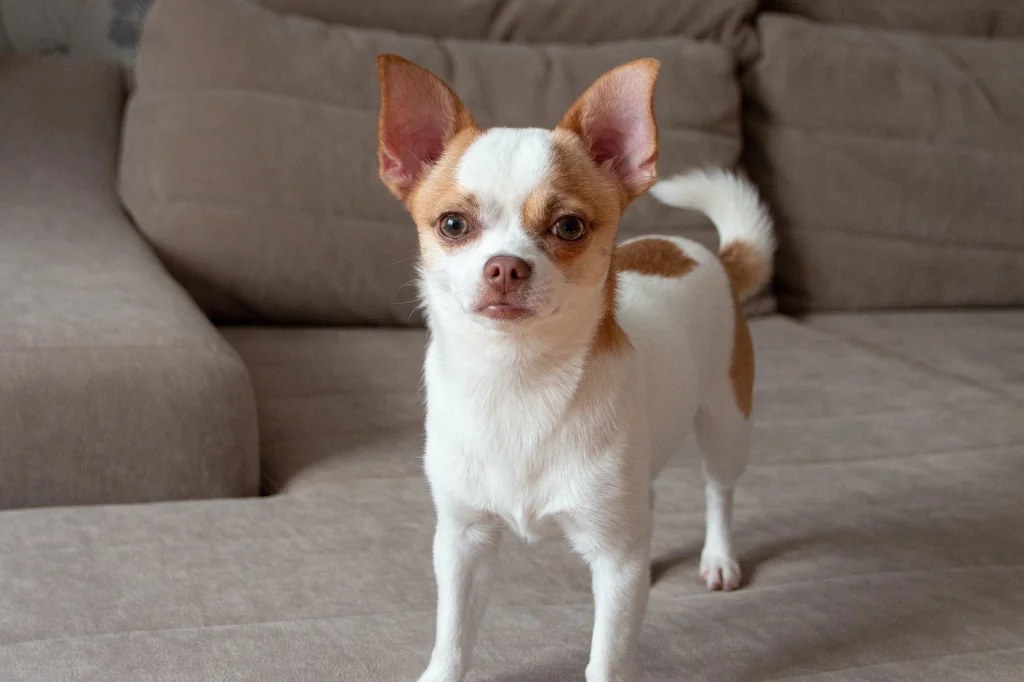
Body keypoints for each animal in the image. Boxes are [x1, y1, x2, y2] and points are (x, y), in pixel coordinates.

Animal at [376, 54, 774, 679]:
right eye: (452, 225)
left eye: (568, 227)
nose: (504, 267)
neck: (517, 379)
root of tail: (707, 254)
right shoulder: (464, 542)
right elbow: (453, 639)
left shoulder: (614, 563)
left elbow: (606, 659)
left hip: (726, 422)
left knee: (719, 491)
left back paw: (719, 558)